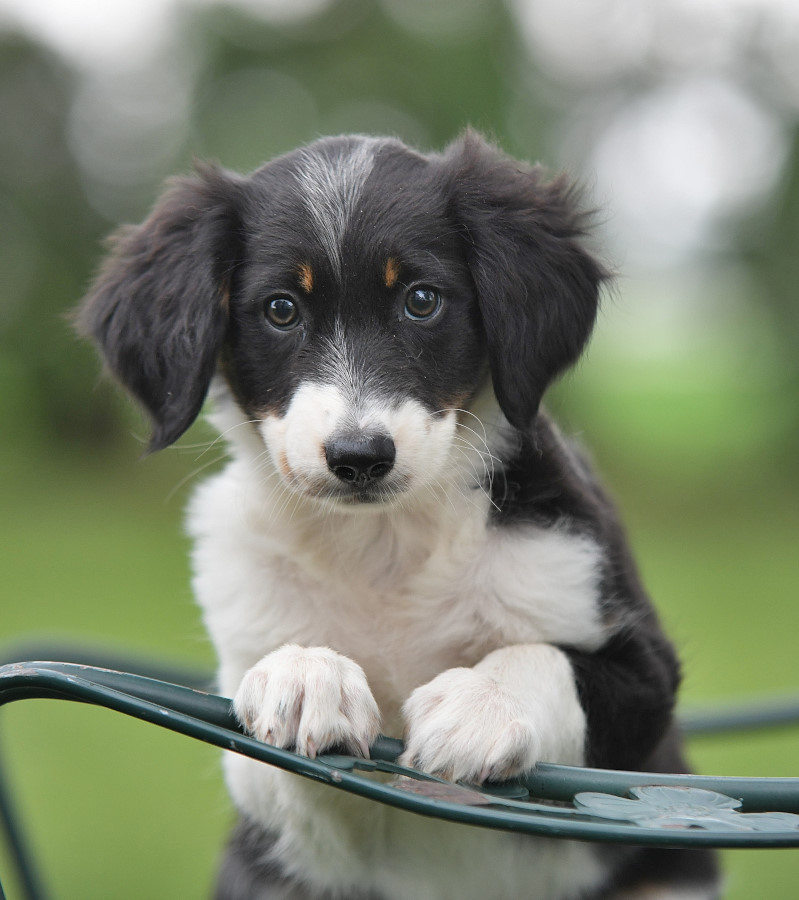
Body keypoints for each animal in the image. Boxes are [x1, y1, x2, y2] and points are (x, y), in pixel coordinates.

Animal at [78, 130, 720, 896]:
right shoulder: (262, 766)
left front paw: (481, 704)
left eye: (421, 300)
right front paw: (306, 676)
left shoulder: (640, 672)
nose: (359, 457)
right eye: (280, 309)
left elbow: (542, 658)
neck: (383, 546)